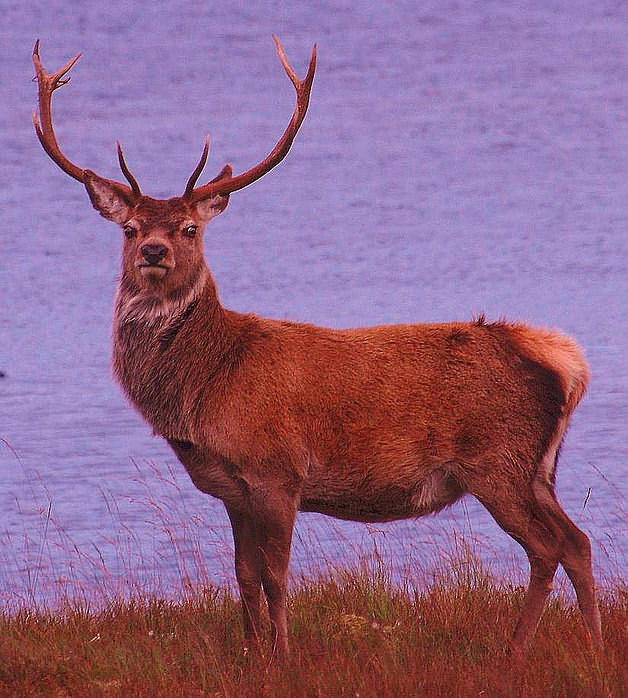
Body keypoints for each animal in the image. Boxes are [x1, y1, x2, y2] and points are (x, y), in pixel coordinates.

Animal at [32, 38, 603, 660]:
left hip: (498, 460)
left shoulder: (277, 470)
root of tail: (565, 363)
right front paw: (252, 653)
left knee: (548, 547)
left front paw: (284, 655)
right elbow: (243, 575)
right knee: (578, 540)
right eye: (130, 228)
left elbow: (276, 575)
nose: (154, 251)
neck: (208, 384)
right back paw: (592, 642)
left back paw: (519, 649)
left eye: (188, 229)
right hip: (539, 468)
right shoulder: (233, 489)